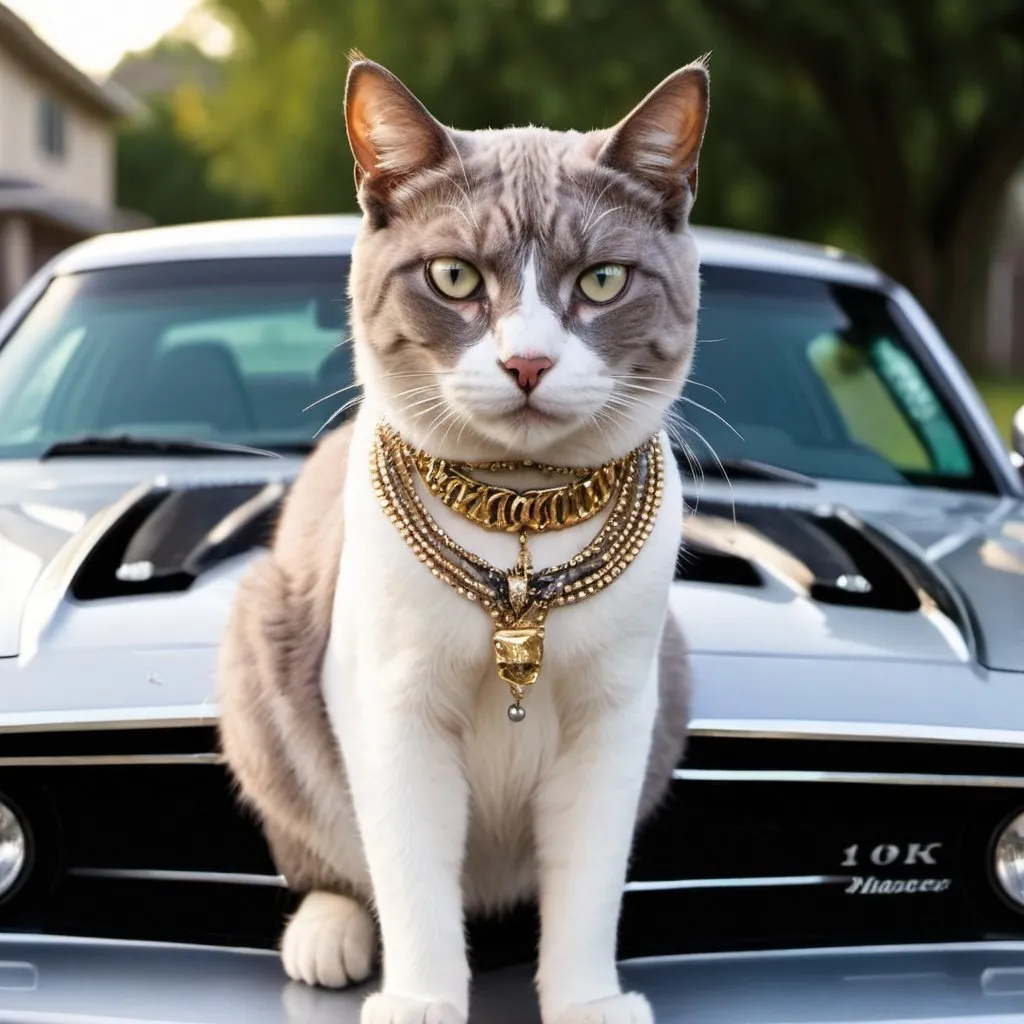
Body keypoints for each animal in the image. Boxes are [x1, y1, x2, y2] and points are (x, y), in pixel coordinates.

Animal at [219, 54, 708, 1024]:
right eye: (453, 277)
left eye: (602, 282)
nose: (527, 362)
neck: (521, 515)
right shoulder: (391, 703)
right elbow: (411, 872)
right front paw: (422, 1001)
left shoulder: (616, 712)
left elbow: (588, 881)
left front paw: (587, 1001)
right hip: (261, 646)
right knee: (334, 862)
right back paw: (327, 936)